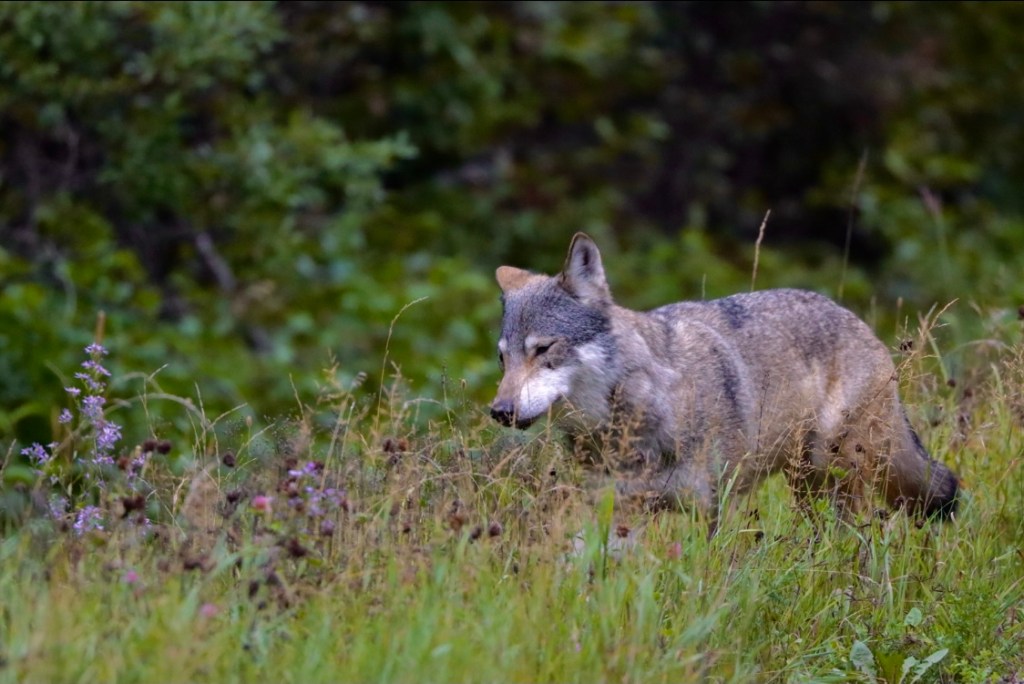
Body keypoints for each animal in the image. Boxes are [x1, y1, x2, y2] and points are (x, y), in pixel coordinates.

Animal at [490, 233, 959, 530]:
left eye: (543, 349)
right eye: (502, 358)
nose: (500, 411)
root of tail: (860, 323)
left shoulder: (718, 508)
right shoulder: (620, 510)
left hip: (833, 469)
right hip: (808, 482)